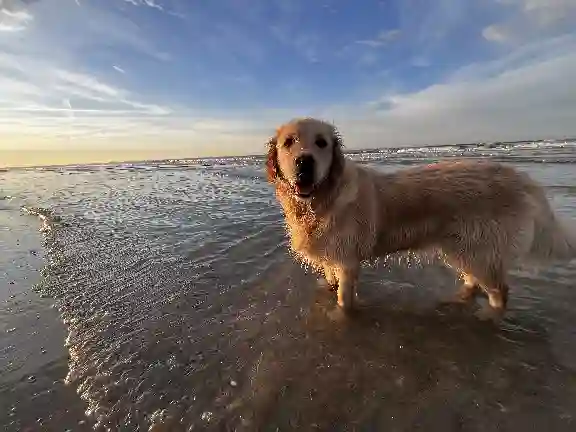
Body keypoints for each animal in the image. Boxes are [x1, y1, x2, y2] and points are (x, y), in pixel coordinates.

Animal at [266, 116, 576, 318]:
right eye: (289, 142)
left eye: (322, 143)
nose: (304, 163)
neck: (320, 202)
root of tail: (520, 178)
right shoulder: (331, 256)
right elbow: (331, 281)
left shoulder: (347, 261)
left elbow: (344, 298)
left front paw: (342, 314)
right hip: (464, 249)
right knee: (474, 280)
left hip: (479, 249)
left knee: (500, 291)